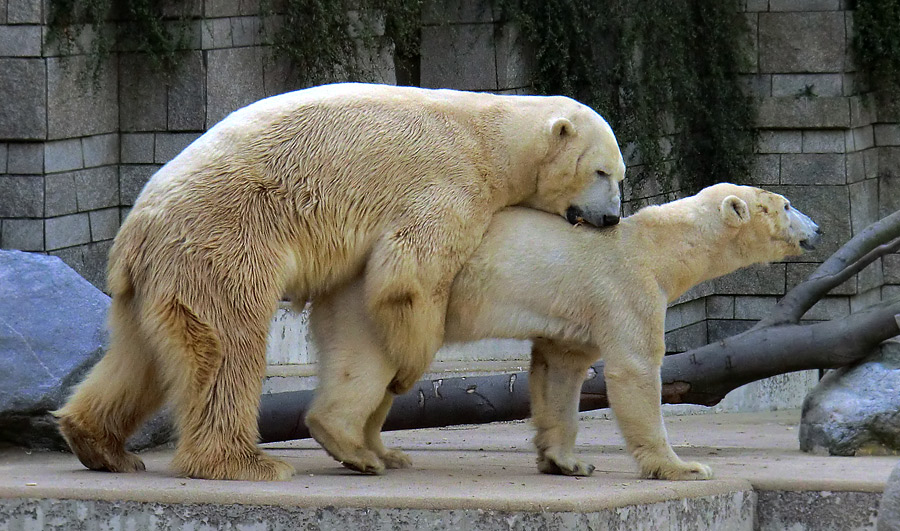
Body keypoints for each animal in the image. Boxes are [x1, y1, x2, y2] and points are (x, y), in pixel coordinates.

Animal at [52, 82, 624, 482]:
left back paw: (99, 445)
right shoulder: (451, 184)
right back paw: (245, 463)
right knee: (227, 344)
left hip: (154, 276)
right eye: (602, 172)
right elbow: (408, 274)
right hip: (223, 240)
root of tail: (138, 228)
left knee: (139, 355)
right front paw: (409, 367)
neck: (493, 137)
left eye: (619, 175)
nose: (612, 217)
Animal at [310, 185, 824, 480]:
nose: (818, 228)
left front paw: (567, 461)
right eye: (787, 205)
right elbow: (635, 369)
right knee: (369, 364)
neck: (658, 246)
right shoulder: (627, 287)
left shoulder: (576, 316)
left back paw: (385, 452)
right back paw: (355, 450)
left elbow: (560, 371)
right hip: (385, 297)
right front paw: (684, 467)